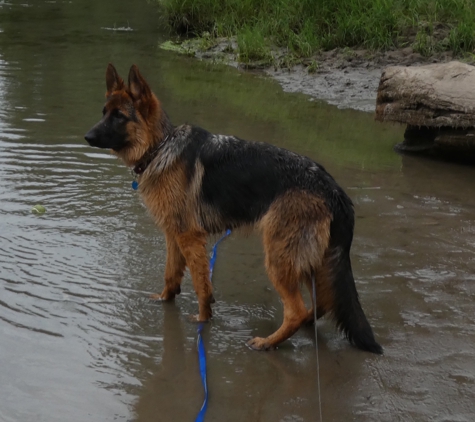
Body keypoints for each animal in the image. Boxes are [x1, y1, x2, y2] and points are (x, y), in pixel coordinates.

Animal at [84, 63, 384, 352]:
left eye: (119, 116)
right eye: (104, 112)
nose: (87, 136)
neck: (160, 147)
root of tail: (334, 190)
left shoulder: (189, 238)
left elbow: (201, 284)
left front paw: (203, 319)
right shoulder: (174, 235)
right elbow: (171, 275)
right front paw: (164, 301)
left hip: (279, 258)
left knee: (297, 311)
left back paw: (267, 342)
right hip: (313, 261)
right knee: (323, 302)